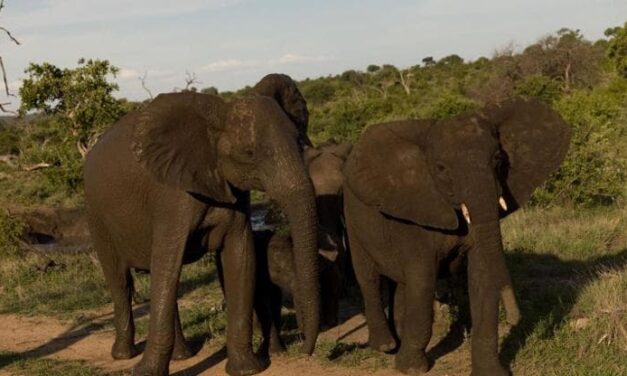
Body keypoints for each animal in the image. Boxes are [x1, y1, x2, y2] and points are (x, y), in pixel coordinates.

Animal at [83, 74, 318, 376]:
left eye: (299, 142)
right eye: (249, 153)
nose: (305, 350)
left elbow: (240, 257)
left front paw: (247, 369)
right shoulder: (172, 198)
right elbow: (168, 261)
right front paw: (146, 372)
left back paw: (182, 355)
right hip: (96, 215)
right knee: (121, 280)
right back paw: (124, 355)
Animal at [340, 97, 572, 376]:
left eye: (498, 158)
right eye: (441, 168)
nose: (515, 318)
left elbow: (482, 277)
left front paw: (491, 373)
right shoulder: (416, 216)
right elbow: (423, 281)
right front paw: (413, 369)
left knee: (401, 284)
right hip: (351, 218)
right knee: (369, 278)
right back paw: (385, 346)